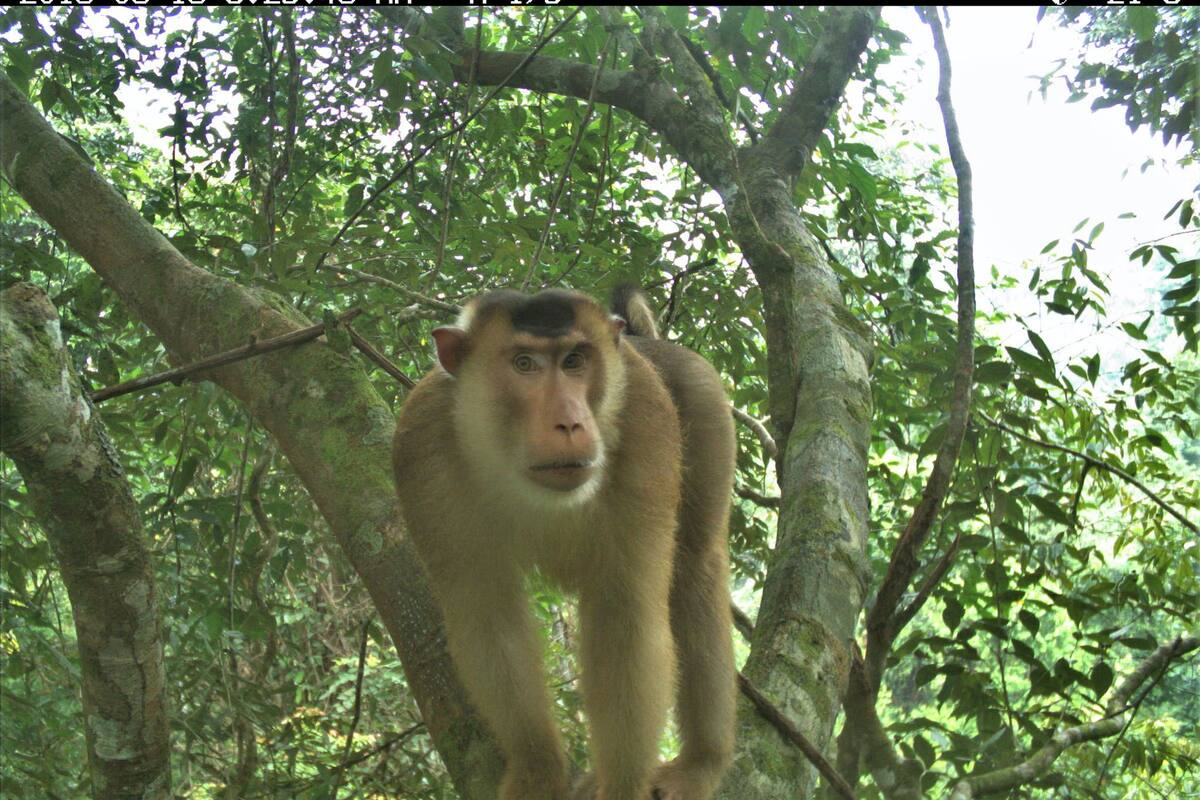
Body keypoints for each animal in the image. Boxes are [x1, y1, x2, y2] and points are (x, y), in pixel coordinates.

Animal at [392, 285, 736, 800]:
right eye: (524, 364)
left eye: (575, 361)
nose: (570, 424)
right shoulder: (421, 446)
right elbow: (490, 618)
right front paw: (538, 769)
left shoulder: (647, 426)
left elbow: (627, 620)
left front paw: (622, 789)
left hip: (702, 397)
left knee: (694, 567)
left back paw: (701, 763)